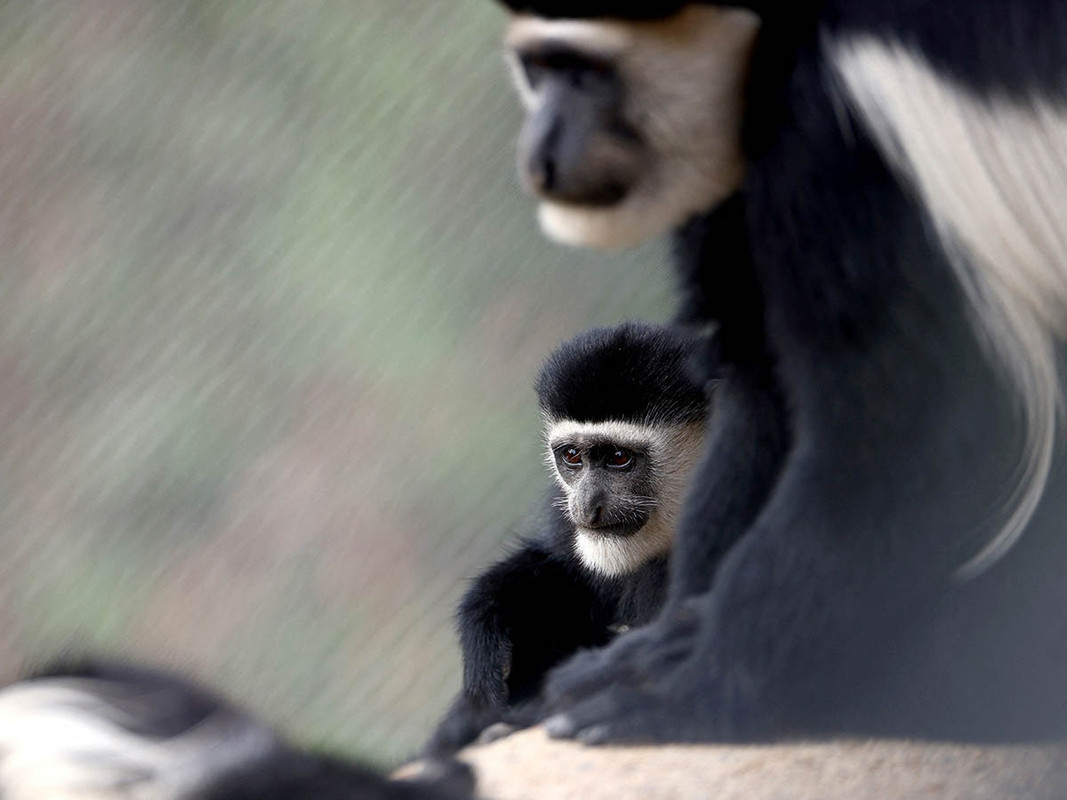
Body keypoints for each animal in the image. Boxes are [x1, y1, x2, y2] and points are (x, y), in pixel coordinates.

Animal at [485, 0, 1067, 745]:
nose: (540, 155)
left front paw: (685, 691)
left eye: (586, 73)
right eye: (539, 69)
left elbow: (900, 435)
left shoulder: (829, 137)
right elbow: (758, 377)